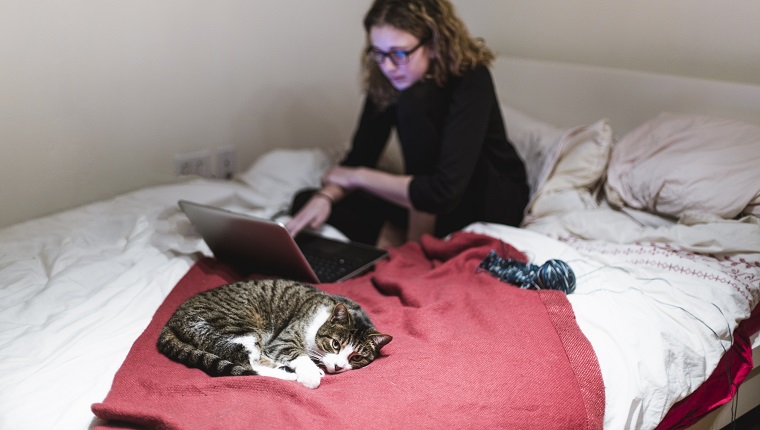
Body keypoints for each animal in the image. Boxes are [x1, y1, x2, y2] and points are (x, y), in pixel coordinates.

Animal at [155, 278, 392, 390]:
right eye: (335, 344)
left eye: (357, 357)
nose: (339, 366)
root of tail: (171, 321)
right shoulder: (283, 339)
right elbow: (298, 354)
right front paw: (311, 374)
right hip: (239, 328)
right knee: (250, 364)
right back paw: (291, 374)